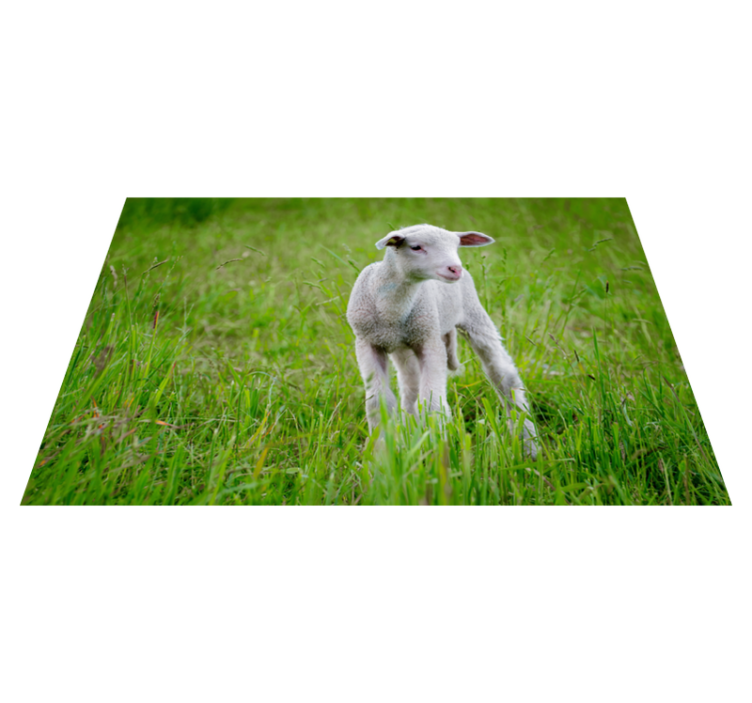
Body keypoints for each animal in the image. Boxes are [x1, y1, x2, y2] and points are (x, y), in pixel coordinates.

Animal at [346, 223, 538, 459]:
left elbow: (432, 404)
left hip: (472, 315)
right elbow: (378, 402)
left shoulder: (430, 340)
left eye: (456, 246)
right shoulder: (367, 342)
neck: (391, 312)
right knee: (410, 388)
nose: (455, 269)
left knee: (503, 374)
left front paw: (437, 451)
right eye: (416, 247)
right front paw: (383, 454)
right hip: (406, 345)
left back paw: (529, 444)